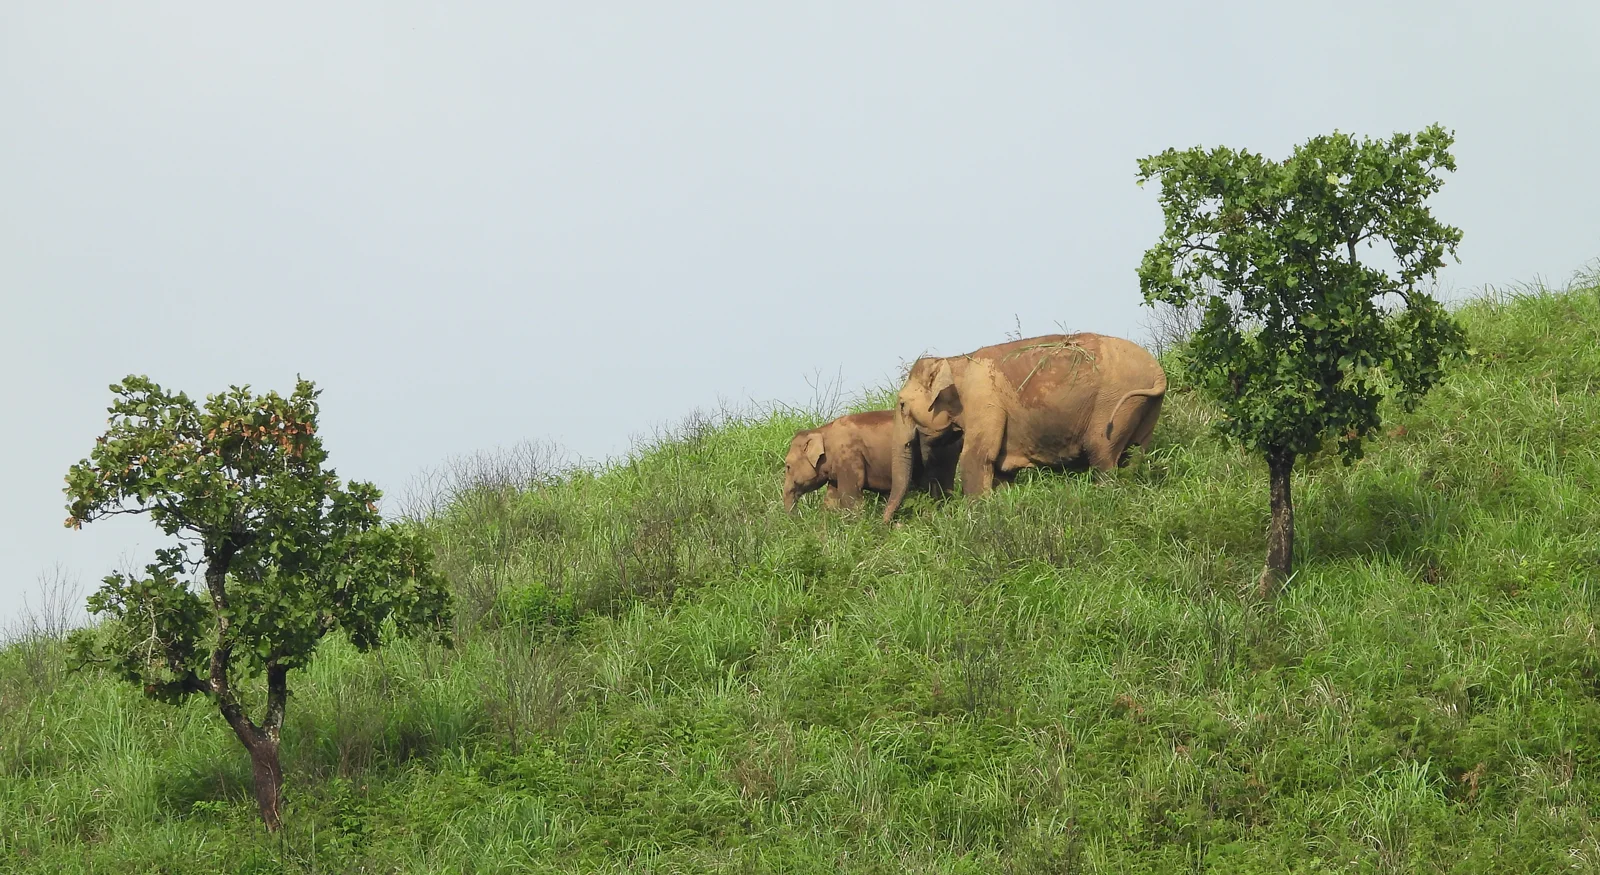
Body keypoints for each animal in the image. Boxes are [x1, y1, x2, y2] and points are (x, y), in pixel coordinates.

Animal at [883, 333, 1166, 521]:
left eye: (901, 404)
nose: (888, 525)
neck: (955, 360)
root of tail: (1159, 372)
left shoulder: (983, 400)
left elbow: (976, 458)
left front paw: (977, 518)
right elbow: (1001, 471)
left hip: (1112, 405)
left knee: (1102, 455)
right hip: (1145, 408)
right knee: (1134, 455)